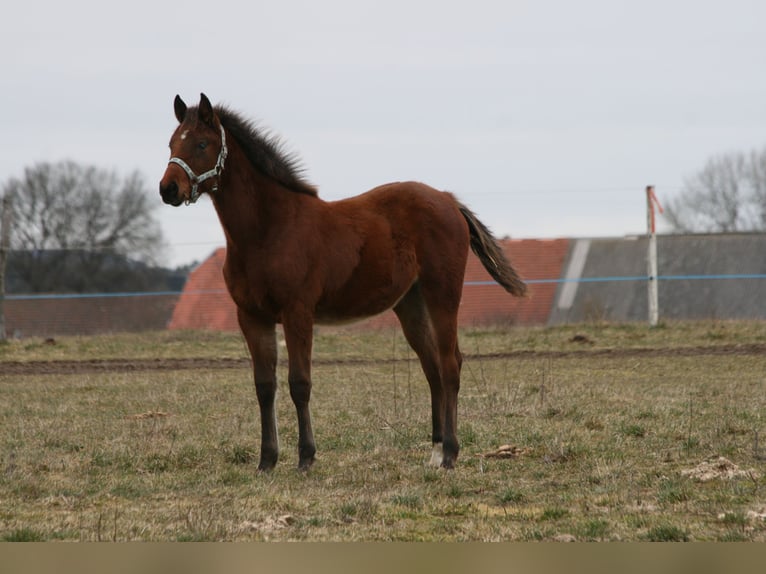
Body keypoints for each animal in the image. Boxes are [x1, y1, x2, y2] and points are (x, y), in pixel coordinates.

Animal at [159, 93, 524, 472]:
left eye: (202, 143)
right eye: (171, 143)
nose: (168, 189)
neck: (269, 230)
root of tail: (447, 199)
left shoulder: (298, 313)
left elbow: (299, 383)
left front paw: (306, 457)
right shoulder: (251, 317)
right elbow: (264, 386)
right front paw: (266, 461)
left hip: (443, 295)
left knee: (451, 364)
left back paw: (451, 451)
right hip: (411, 304)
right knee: (433, 366)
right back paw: (436, 450)